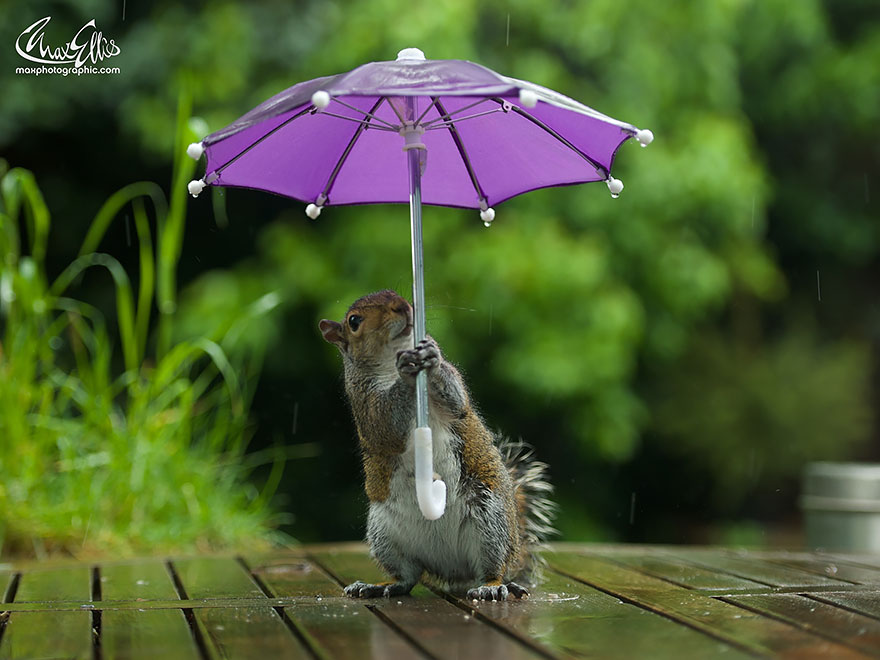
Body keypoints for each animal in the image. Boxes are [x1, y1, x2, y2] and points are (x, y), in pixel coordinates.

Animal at [319, 289, 554, 601]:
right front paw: (407, 371)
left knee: (493, 569)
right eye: (354, 321)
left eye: (400, 295)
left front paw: (431, 355)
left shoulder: (453, 388)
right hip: (384, 533)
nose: (403, 307)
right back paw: (380, 585)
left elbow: (457, 402)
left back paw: (493, 586)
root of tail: (454, 569)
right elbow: (386, 429)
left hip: (490, 518)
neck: (389, 361)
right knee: (407, 577)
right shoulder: (365, 404)